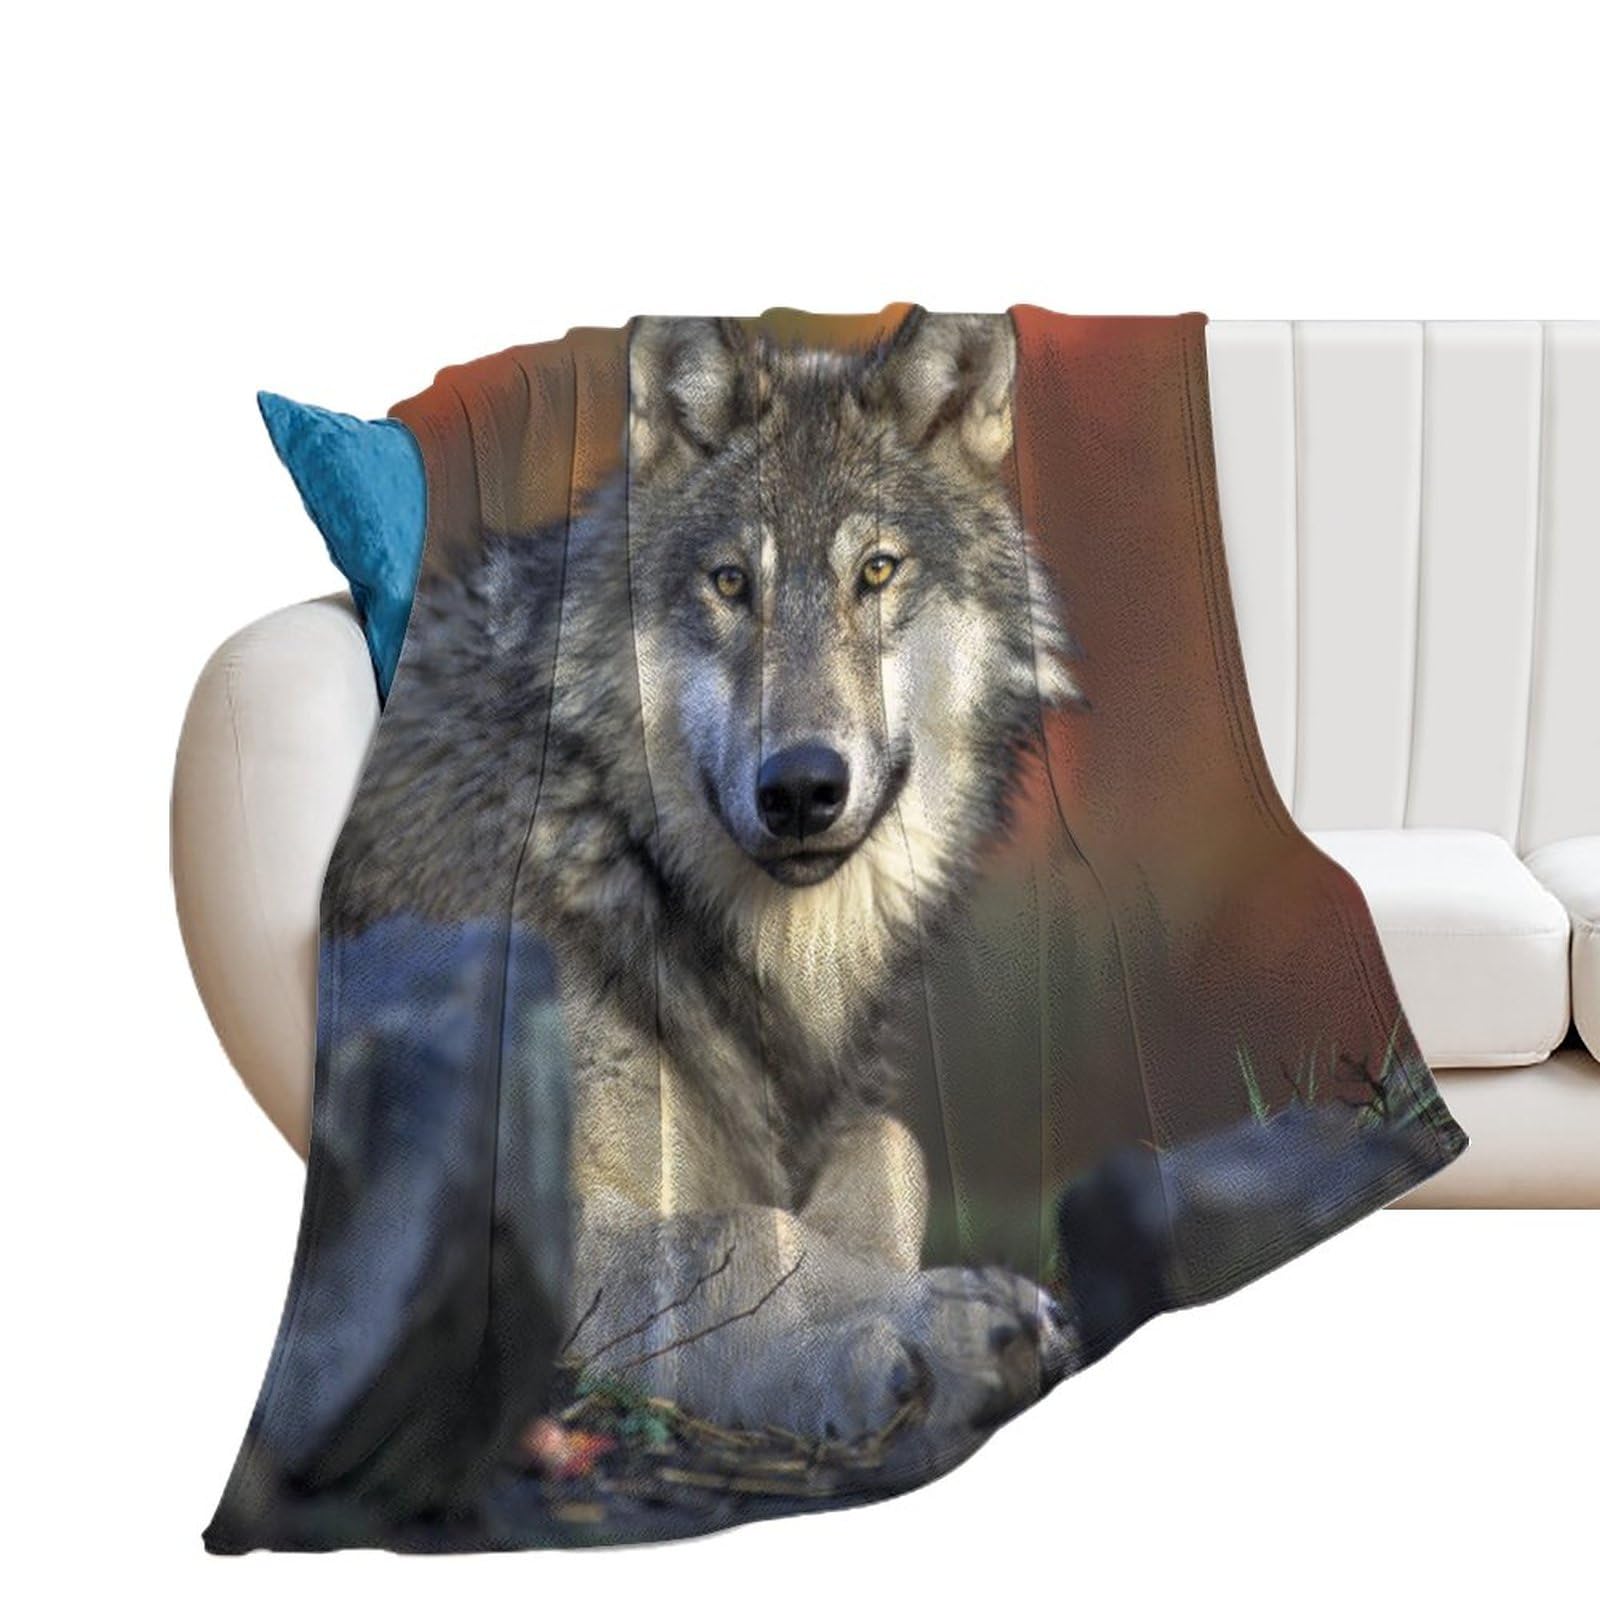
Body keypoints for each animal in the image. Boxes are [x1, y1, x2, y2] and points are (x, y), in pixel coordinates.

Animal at [332, 311, 1081, 1446]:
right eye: (732, 583)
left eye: (876, 571)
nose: (802, 787)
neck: (610, 838)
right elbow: (754, 1235)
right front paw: (930, 1326)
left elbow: (891, 1149)